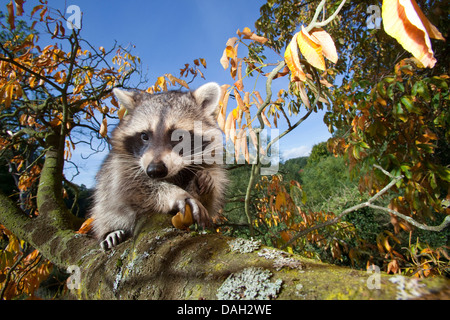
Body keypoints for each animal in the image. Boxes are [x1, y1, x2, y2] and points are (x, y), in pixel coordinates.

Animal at [89, 82, 227, 250]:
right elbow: (130, 188)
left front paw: (203, 185)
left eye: (179, 137)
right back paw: (110, 231)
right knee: (105, 207)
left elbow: (211, 195)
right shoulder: (121, 167)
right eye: (144, 136)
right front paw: (175, 194)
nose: (155, 170)